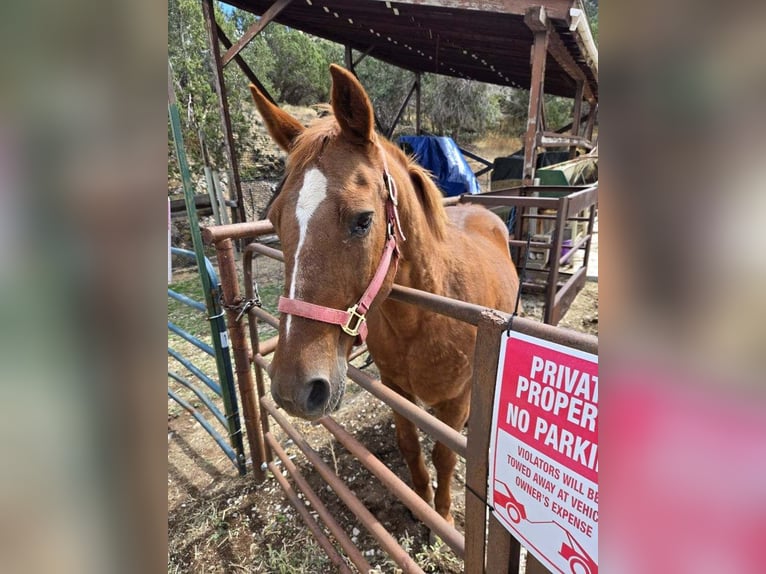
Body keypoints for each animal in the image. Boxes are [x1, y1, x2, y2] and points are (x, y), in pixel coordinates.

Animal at [254, 65, 520, 524]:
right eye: (274, 219)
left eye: (363, 220)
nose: (293, 389)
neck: (424, 319)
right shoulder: (396, 390)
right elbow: (411, 446)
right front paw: (421, 505)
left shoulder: (455, 401)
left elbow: (444, 456)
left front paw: (442, 518)